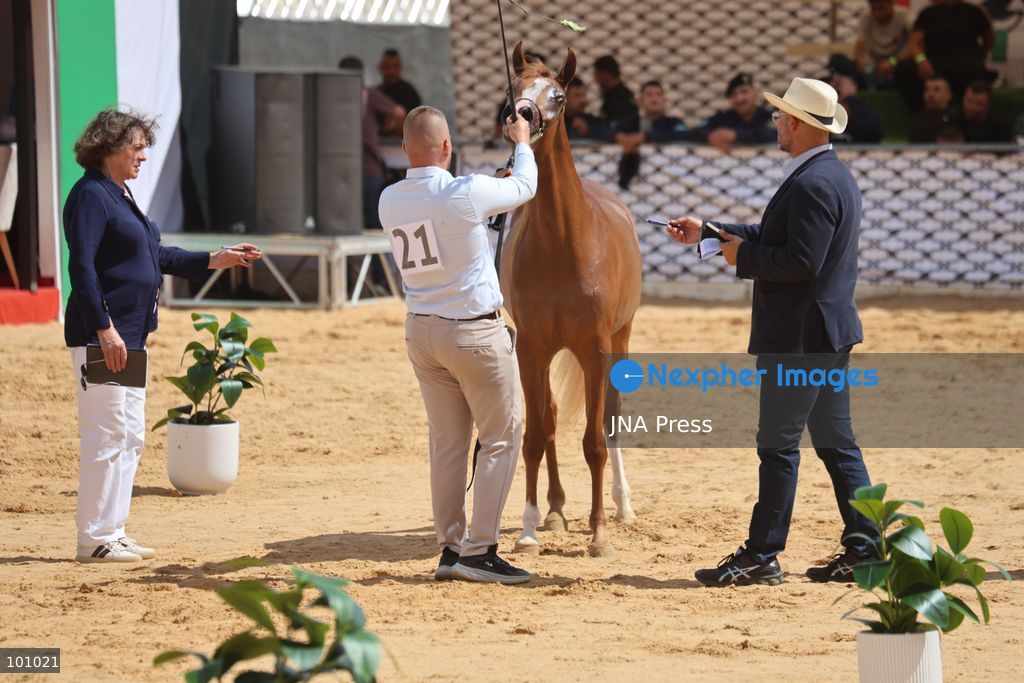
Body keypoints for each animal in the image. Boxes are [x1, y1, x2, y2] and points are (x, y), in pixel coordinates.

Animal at [500, 43, 643, 557]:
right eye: (514, 87)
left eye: (558, 97)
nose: (517, 116)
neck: (563, 242)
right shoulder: (530, 347)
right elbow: (536, 434)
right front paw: (527, 529)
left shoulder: (595, 348)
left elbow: (596, 439)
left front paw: (599, 534)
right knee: (551, 419)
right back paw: (556, 510)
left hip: (620, 339)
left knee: (613, 417)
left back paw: (621, 507)